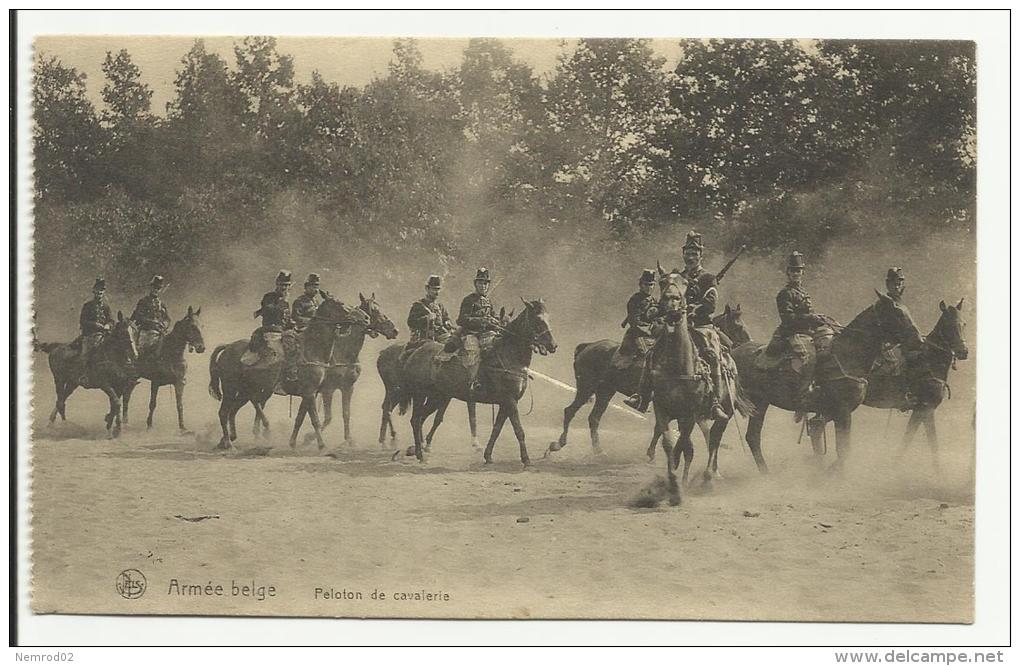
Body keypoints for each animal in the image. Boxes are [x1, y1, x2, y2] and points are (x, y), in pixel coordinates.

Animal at [206, 297, 367, 448]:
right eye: (341, 304)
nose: (365, 318)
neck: (311, 348)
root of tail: (228, 347)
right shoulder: (311, 392)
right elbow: (315, 419)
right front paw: (322, 445)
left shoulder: (311, 393)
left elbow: (301, 418)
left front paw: (293, 442)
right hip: (230, 389)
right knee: (224, 412)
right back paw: (229, 443)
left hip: (245, 391)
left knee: (235, 410)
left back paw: (229, 439)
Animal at [395, 297, 558, 465]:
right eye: (537, 319)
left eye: (548, 318)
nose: (553, 345)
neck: (508, 355)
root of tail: (418, 348)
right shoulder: (510, 401)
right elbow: (519, 430)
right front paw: (526, 459)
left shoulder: (506, 403)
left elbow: (497, 429)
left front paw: (488, 455)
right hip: (420, 395)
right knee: (415, 420)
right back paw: (420, 454)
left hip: (437, 397)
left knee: (421, 418)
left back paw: (417, 450)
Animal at [722, 291, 930, 473]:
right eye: (897, 313)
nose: (919, 341)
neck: (847, 356)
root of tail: (731, 353)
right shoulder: (843, 412)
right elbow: (843, 450)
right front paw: (830, 474)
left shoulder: (832, 411)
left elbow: (820, 433)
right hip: (731, 405)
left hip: (760, 403)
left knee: (752, 437)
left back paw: (766, 473)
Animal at [864, 295, 966, 473]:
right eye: (948, 324)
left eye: (964, 324)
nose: (963, 352)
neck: (929, 361)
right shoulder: (925, 409)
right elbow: (928, 442)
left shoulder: (920, 411)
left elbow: (910, 439)